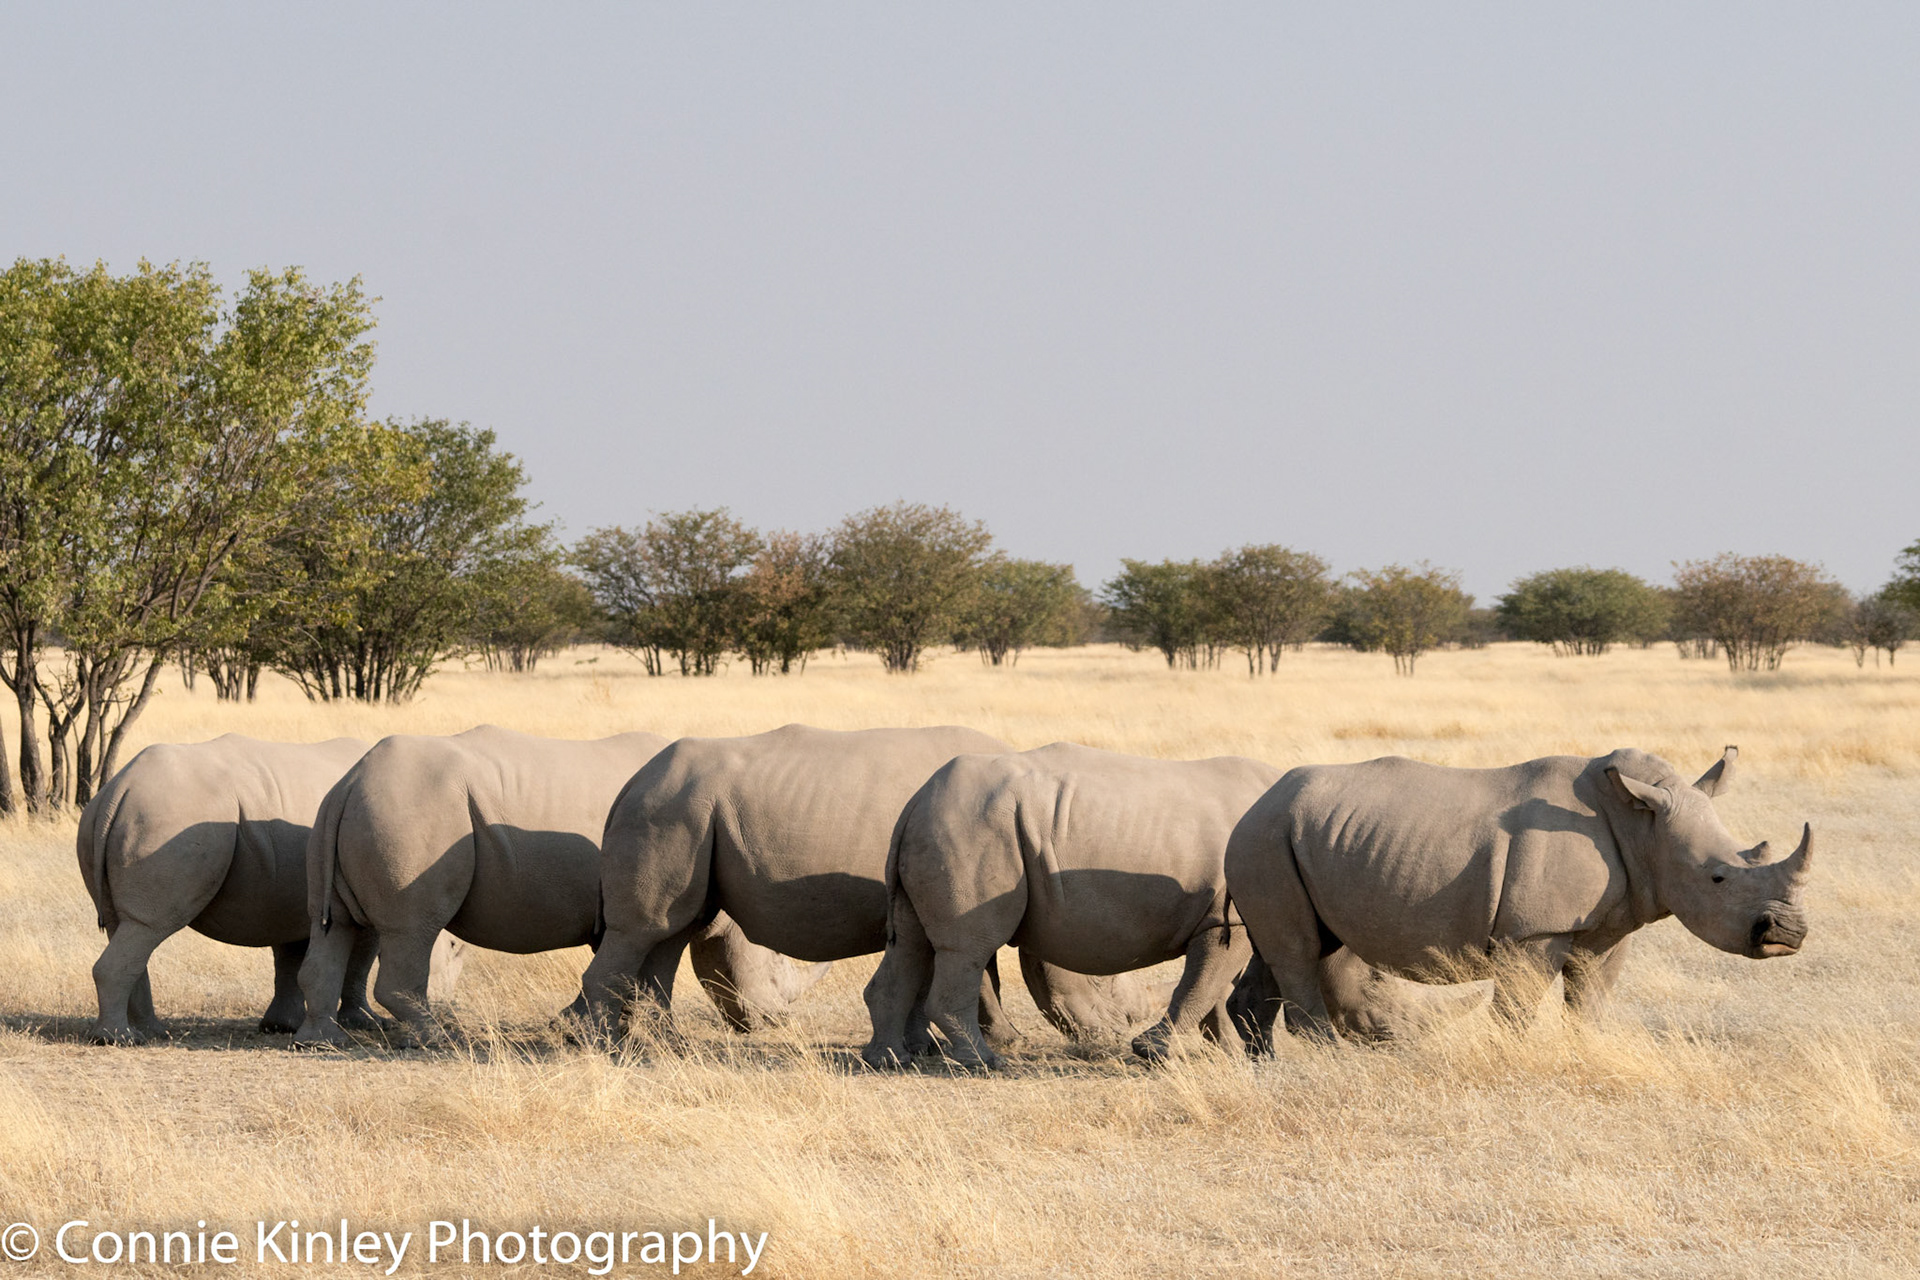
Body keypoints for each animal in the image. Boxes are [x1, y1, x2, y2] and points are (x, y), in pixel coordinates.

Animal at [75, 734, 464, 1045]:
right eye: (455, 950)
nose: (450, 1003)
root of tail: (118, 790)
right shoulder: (366, 900)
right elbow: (359, 961)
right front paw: (366, 1023)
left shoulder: (288, 899)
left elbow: (289, 959)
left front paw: (281, 1025)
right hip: (166, 815)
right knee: (149, 926)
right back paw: (120, 1039)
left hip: (110, 818)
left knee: (126, 928)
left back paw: (151, 1032)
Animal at [294, 726, 826, 1047]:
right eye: (775, 970)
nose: (775, 1023)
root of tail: (350, 781)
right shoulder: (637, 907)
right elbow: (623, 970)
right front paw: (592, 1029)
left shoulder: (619, 911)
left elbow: (616, 971)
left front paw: (570, 1024)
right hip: (409, 811)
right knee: (413, 928)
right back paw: (440, 1038)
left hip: (350, 812)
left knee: (334, 927)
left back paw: (322, 1041)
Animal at [583, 724, 1154, 1044]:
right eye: (1103, 979)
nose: (1120, 1031)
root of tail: (630, 783)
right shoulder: (966, 890)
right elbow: (974, 971)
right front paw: (996, 1041)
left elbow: (963, 970)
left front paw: (939, 1043)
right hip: (668, 810)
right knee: (646, 932)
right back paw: (600, 1045)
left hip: (682, 809)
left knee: (671, 933)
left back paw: (655, 1044)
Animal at [1224, 745, 1812, 1042]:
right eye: (1718, 878)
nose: (1789, 933)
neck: (1642, 825)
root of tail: (1258, 800)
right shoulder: (1534, 930)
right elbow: (1517, 1010)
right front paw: (1508, 1065)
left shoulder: (1609, 928)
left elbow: (1590, 1003)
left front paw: (1586, 1056)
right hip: (1264, 838)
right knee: (1299, 952)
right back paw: (1326, 1061)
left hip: (1289, 836)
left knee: (1288, 948)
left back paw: (1266, 1070)